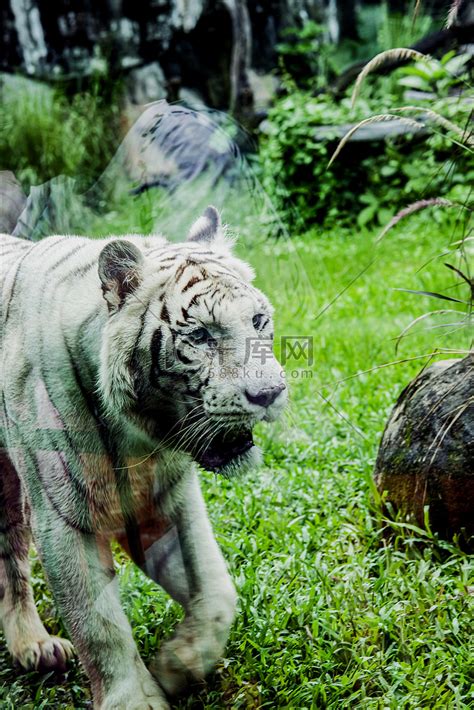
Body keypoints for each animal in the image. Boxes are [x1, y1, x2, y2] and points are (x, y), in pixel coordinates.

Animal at [0, 207, 286, 710]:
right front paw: (136, 698)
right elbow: (99, 627)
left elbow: (216, 589)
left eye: (257, 320)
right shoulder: (64, 521)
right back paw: (35, 645)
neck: (140, 444)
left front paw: (178, 665)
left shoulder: (170, 501)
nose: (270, 394)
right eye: (200, 335)